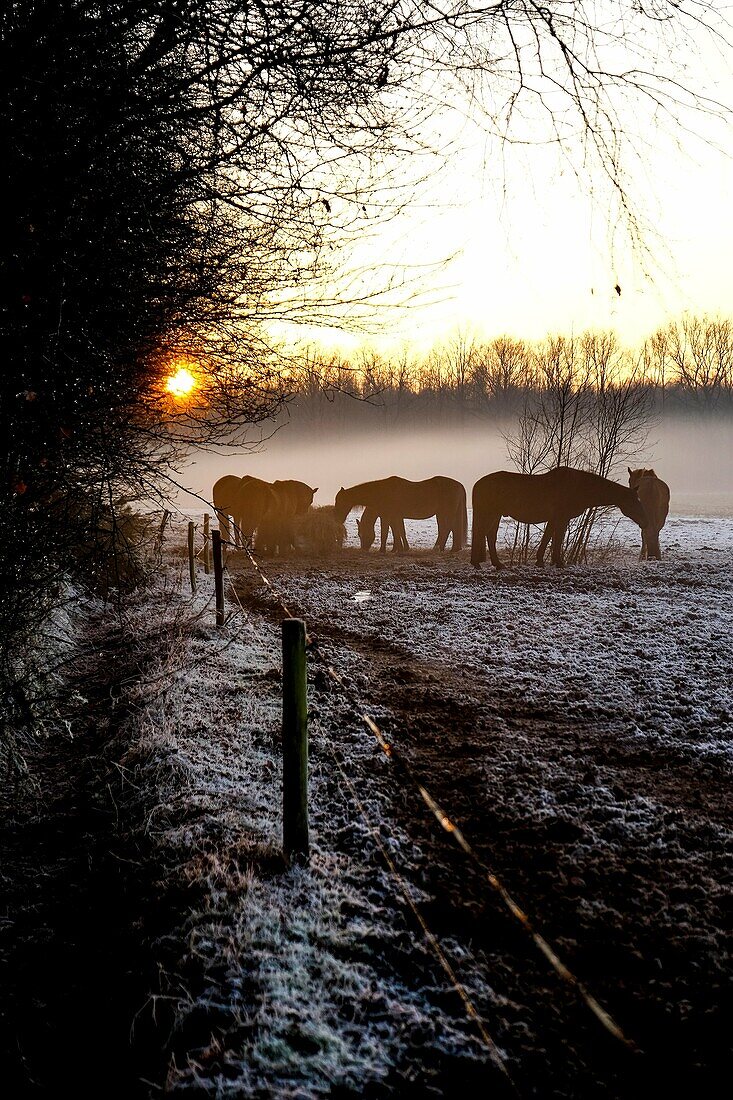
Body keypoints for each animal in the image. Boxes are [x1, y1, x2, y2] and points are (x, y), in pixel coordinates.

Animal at [334, 477, 464, 554]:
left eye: (341, 501)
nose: (363, 549)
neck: (381, 493)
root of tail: (459, 485)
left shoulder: (387, 517)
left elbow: (386, 533)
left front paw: (383, 550)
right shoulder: (395, 516)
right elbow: (398, 531)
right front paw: (399, 549)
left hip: (446, 513)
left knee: (448, 528)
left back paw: (441, 549)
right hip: (441, 514)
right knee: (449, 529)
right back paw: (450, 548)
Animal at [468, 464, 647, 567]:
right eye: (634, 502)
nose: (644, 522)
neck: (579, 487)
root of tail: (478, 483)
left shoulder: (554, 519)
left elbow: (548, 537)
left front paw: (541, 561)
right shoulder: (562, 518)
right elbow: (558, 538)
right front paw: (559, 562)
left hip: (495, 515)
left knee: (489, 536)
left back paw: (497, 564)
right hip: (490, 513)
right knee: (482, 534)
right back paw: (477, 563)